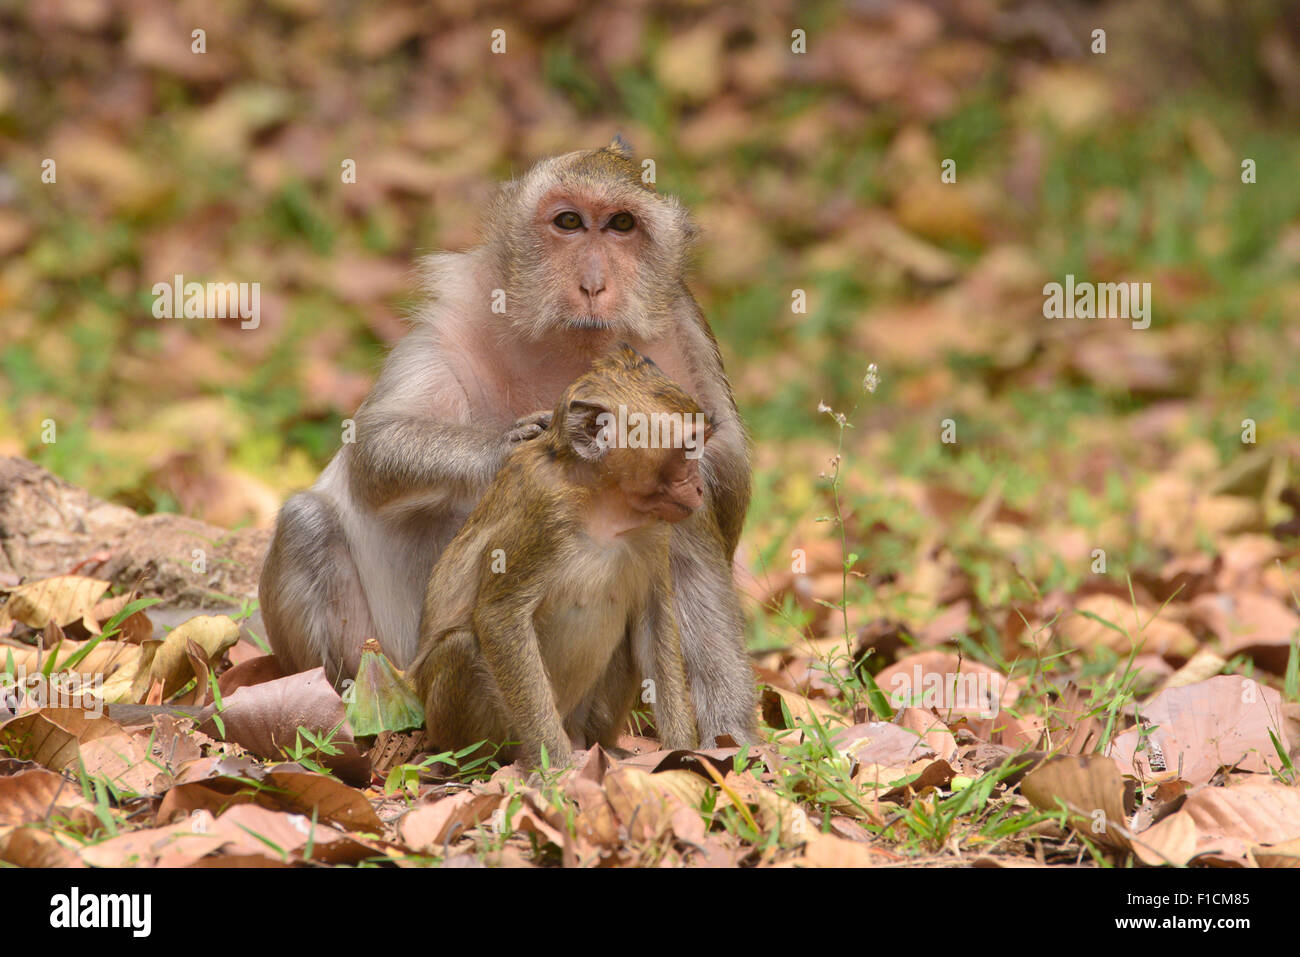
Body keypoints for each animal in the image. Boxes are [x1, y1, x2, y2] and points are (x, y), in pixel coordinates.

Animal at [411, 345, 706, 766]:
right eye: (686, 450)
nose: (699, 488)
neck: (602, 502)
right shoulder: (544, 509)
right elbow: (500, 616)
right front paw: (558, 768)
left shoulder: (653, 529)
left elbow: (654, 617)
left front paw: (686, 755)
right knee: (462, 648)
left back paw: (604, 747)